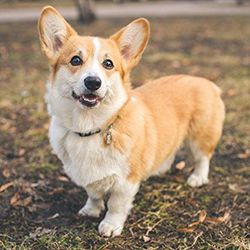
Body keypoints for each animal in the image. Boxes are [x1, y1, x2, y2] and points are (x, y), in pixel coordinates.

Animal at [38, 5, 225, 236]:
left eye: (108, 64)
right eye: (75, 60)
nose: (93, 82)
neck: (90, 127)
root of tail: (207, 82)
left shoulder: (125, 182)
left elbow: (116, 205)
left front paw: (110, 225)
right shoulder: (89, 178)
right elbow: (93, 193)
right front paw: (91, 210)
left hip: (200, 136)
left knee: (203, 158)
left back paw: (198, 178)